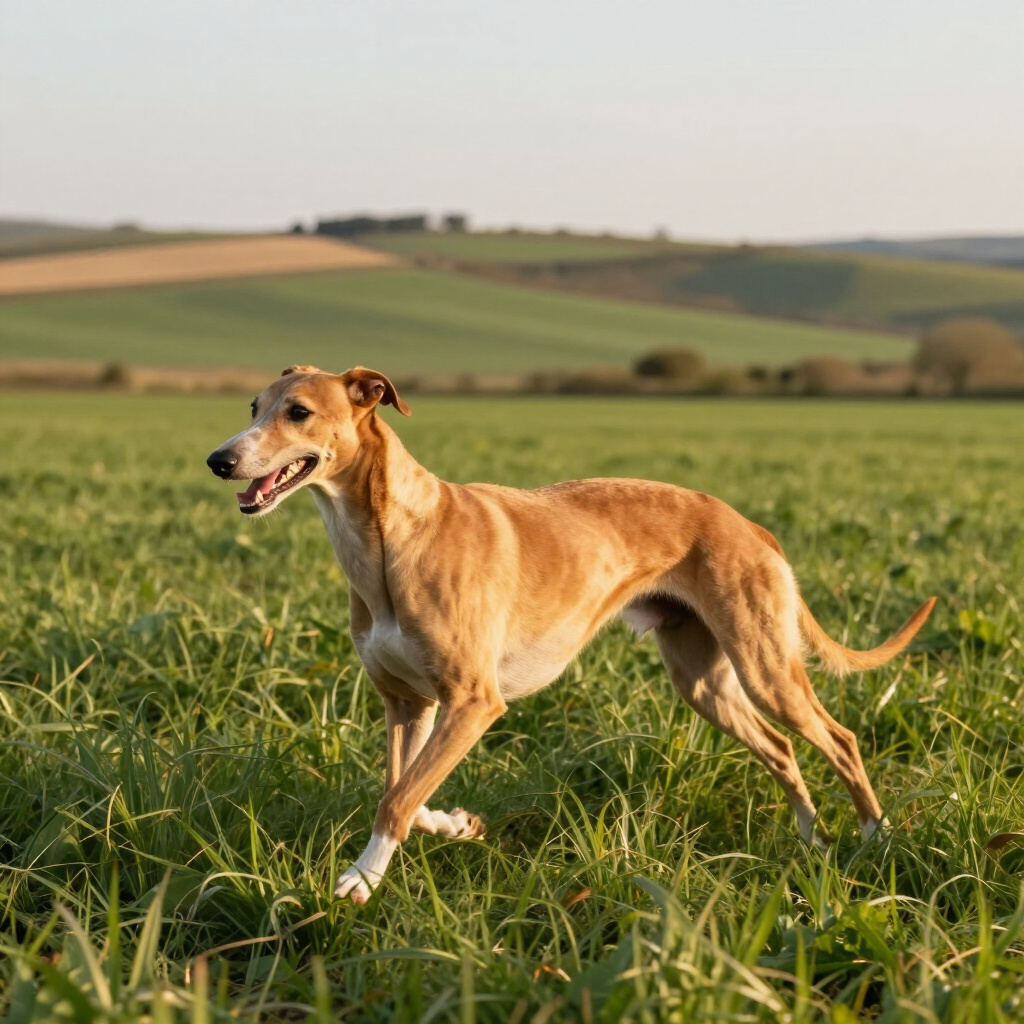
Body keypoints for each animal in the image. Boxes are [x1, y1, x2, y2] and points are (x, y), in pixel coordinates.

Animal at [207, 365, 935, 904]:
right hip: (704, 681)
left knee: (839, 740)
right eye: (253, 405)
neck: (389, 539)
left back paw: (874, 838)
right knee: (782, 749)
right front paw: (454, 825)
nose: (219, 459)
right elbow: (404, 789)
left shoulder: (474, 702)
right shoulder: (407, 704)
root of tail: (750, 525)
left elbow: (399, 798)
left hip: (766, 667)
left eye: (298, 412)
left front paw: (361, 878)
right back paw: (811, 841)